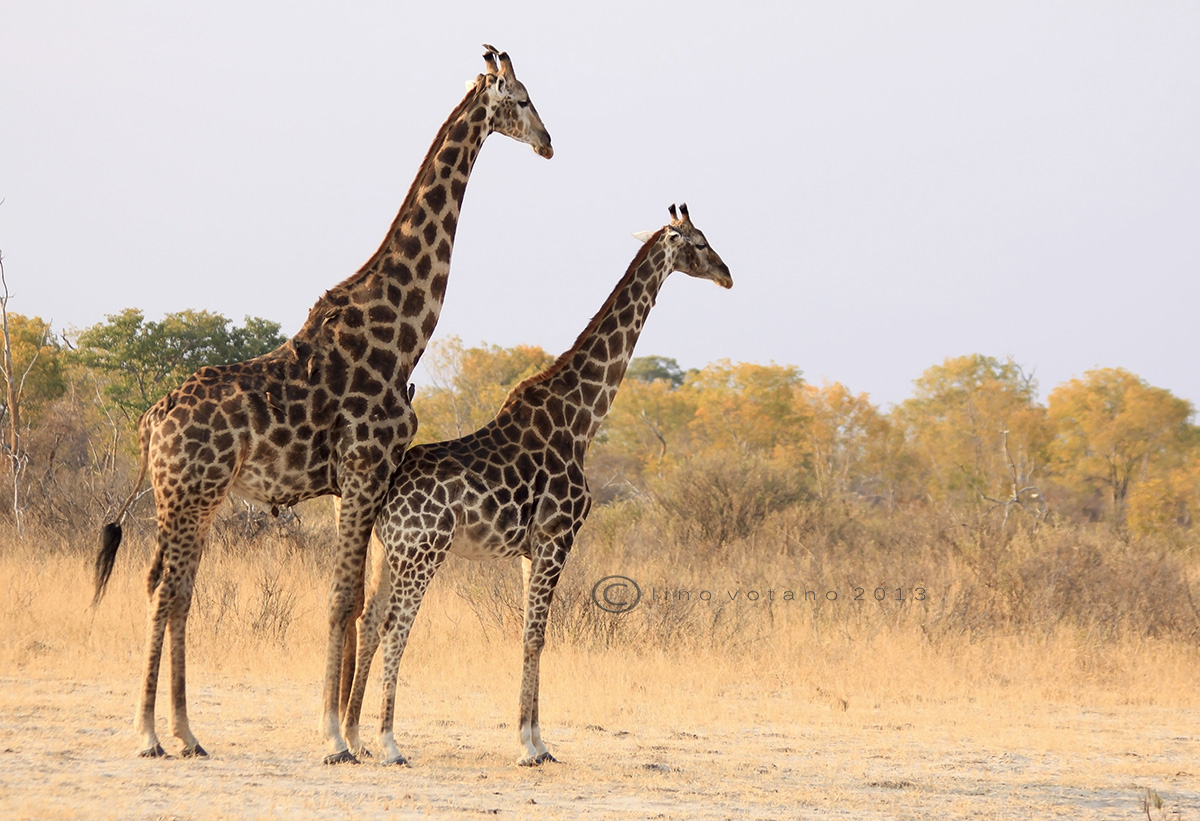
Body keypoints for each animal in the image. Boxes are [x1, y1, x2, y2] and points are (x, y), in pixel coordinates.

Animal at [90, 45, 553, 764]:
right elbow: (342, 602)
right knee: (166, 588)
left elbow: (357, 601)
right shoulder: (363, 469)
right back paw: (150, 733)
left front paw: (353, 732)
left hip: (195, 495)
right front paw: (336, 735)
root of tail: (149, 422)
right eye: (525, 99)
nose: (549, 142)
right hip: (188, 493)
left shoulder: (357, 482)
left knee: (175, 589)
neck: (403, 335)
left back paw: (187, 733)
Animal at [340, 204, 731, 766]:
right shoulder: (556, 538)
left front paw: (536, 739)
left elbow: (531, 634)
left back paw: (353, 736)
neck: (584, 418)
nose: (727, 274)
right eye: (699, 242)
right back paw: (390, 743)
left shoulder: (531, 549)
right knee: (396, 630)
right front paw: (530, 744)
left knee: (369, 622)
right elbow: (536, 638)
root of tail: (385, 492)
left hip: (387, 552)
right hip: (424, 552)